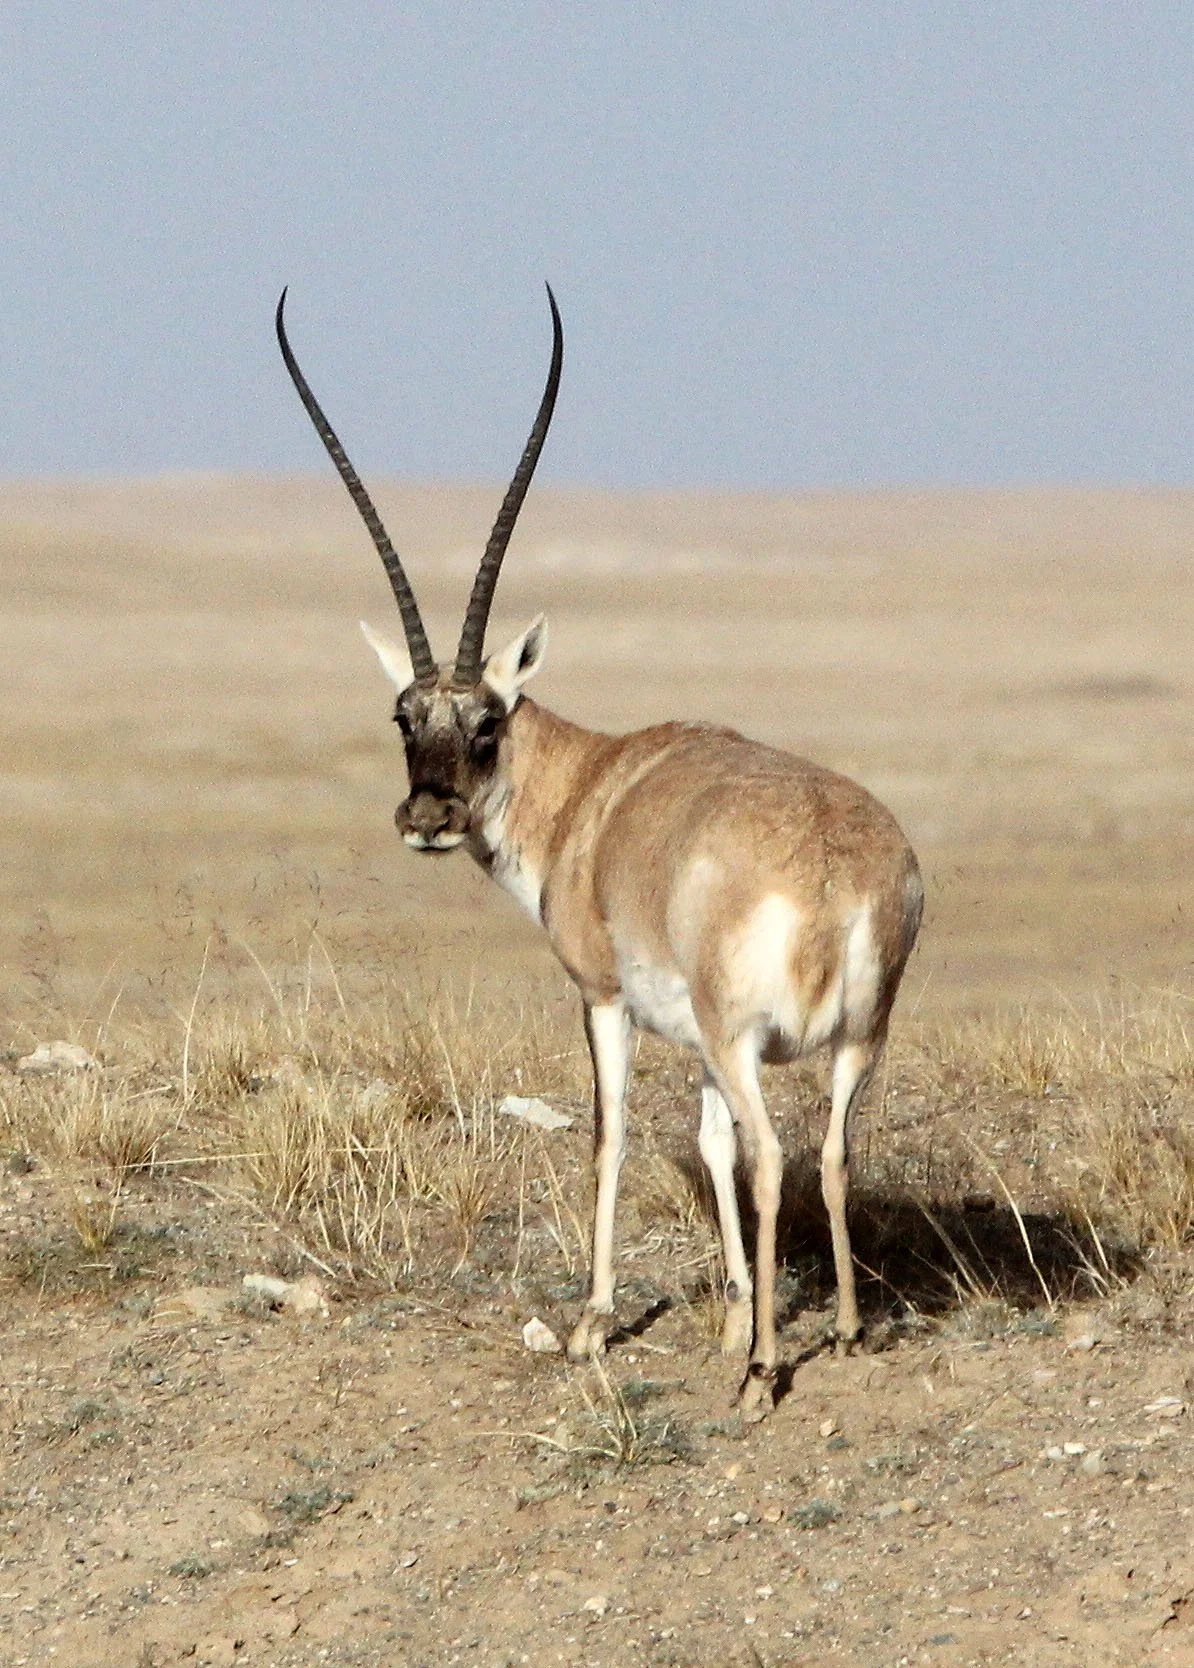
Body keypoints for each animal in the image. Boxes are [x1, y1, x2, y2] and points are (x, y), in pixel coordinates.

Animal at [276, 286, 923, 1419]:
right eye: (405, 715)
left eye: (486, 720)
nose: (430, 817)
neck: (586, 786)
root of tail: (838, 873)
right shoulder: (702, 1043)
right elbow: (706, 1142)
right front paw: (729, 1317)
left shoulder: (606, 999)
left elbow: (612, 1131)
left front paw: (593, 1324)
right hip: (852, 1043)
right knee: (834, 1151)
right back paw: (840, 1330)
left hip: (748, 1039)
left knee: (774, 1156)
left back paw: (764, 1375)